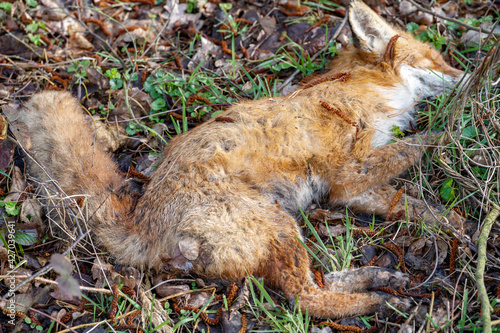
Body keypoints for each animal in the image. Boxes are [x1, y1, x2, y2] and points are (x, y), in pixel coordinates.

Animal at [16, 0, 468, 318]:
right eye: (435, 60)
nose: (469, 77)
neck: (363, 94)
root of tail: (141, 221)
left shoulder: (349, 189)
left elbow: (413, 205)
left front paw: (456, 226)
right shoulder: (349, 171)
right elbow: (415, 145)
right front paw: (456, 133)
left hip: (277, 229)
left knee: (321, 281)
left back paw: (380, 278)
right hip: (278, 226)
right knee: (306, 298)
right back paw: (379, 301)